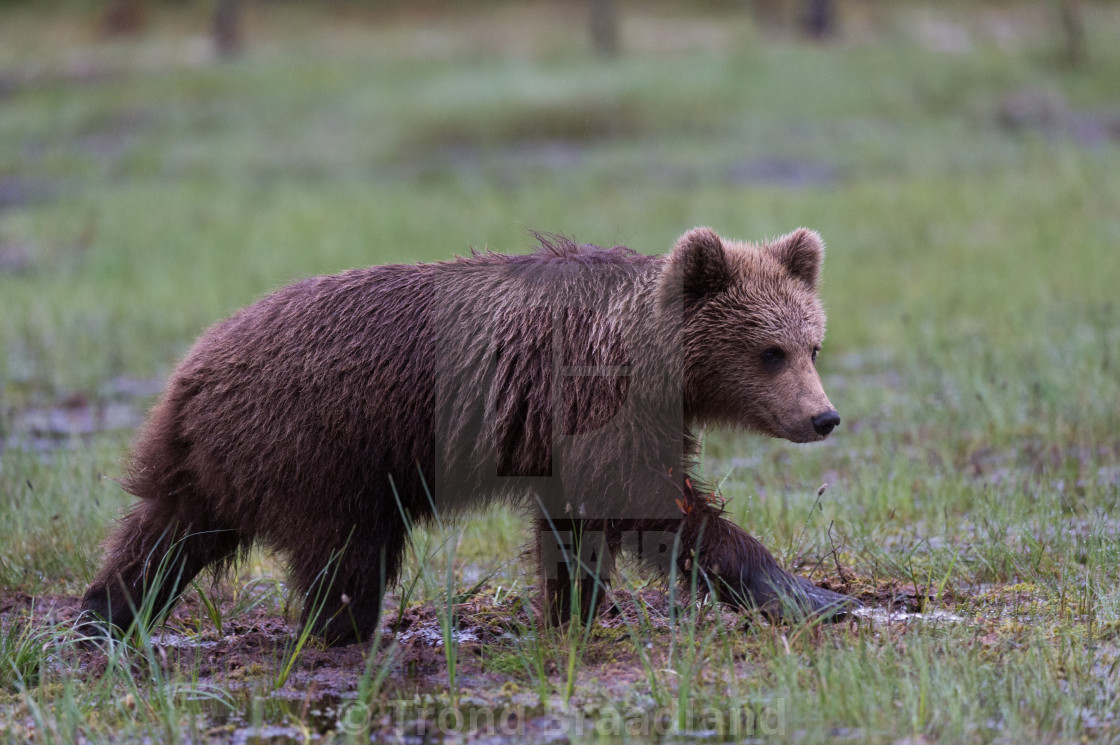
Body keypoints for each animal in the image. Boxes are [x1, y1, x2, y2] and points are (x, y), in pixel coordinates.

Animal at [81, 226, 846, 645]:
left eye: (813, 345)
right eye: (770, 352)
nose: (823, 416)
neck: (654, 361)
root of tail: (190, 370)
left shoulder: (565, 434)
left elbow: (575, 524)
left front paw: (573, 609)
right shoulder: (596, 404)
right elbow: (653, 505)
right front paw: (808, 594)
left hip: (218, 460)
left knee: (165, 531)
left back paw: (105, 615)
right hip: (327, 445)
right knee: (348, 554)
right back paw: (342, 631)